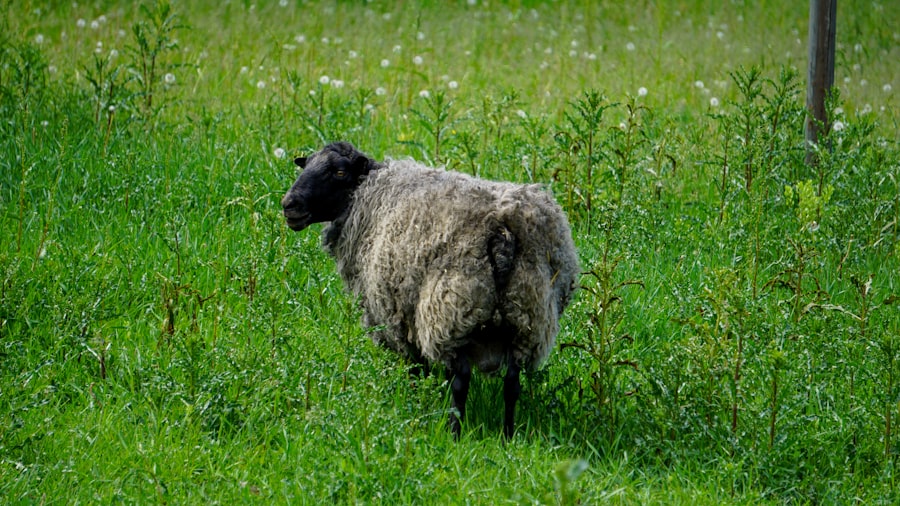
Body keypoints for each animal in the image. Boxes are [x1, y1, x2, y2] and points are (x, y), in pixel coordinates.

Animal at [281, 141, 579, 438]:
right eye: (306, 165)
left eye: (340, 172)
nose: (289, 205)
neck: (366, 193)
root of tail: (502, 234)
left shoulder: (396, 320)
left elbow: (416, 370)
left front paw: (416, 402)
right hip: (527, 317)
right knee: (511, 384)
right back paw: (507, 436)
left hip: (451, 311)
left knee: (461, 379)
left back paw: (455, 433)